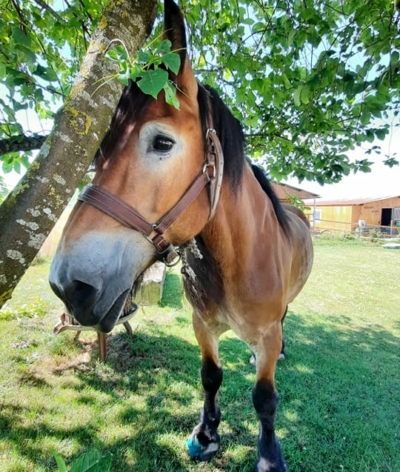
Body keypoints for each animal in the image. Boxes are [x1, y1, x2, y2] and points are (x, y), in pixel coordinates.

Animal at [49, 1, 312, 470]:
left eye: (162, 142)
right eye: (100, 149)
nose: (68, 285)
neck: (237, 261)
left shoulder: (266, 335)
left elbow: (265, 398)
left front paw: (268, 455)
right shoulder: (202, 325)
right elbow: (210, 377)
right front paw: (206, 434)